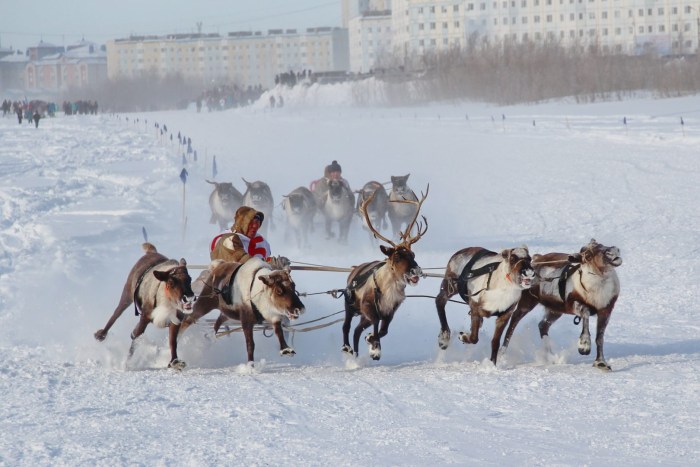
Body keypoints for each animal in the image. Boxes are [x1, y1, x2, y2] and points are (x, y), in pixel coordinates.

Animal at [341, 186, 429, 360]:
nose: (416, 270)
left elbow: (383, 331)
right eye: (397, 256)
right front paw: (375, 348)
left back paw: (357, 355)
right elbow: (375, 323)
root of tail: (354, 269)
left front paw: (371, 341)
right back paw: (347, 349)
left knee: (357, 330)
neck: (388, 289)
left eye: (413, 254)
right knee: (346, 327)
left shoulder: (390, 312)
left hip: (362, 315)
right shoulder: (368, 307)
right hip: (350, 305)